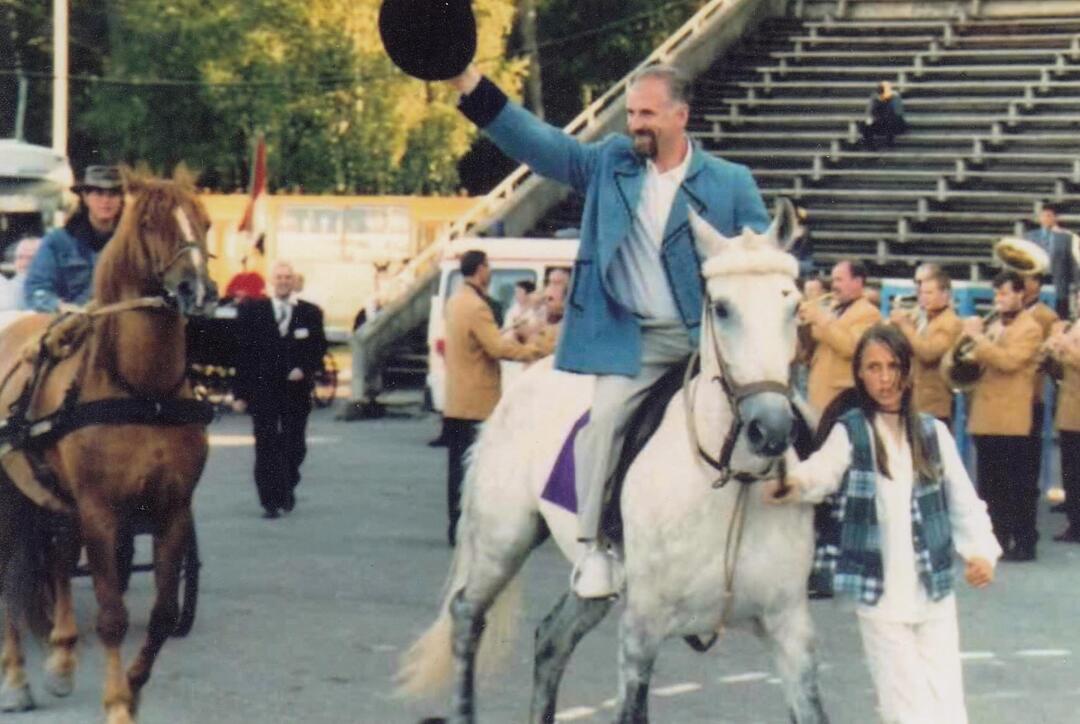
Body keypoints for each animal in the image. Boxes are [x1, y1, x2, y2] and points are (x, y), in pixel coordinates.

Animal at [0, 171, 216, 724]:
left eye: (204, 221)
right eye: (151, 222)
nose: (198, 289)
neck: (142, 391)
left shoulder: (172, 509)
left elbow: (162, 614)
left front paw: (133, 687)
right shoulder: (99, 510)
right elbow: (113, 614)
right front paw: (117, 700)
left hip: (54, 501)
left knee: (54, 563)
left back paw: (60, 658)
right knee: (10, 579)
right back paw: (17, 678)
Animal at [397, 200, 825, 724]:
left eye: (793, 306)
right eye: (722, 308)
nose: (771, 429)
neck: (728, 485)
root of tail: (523, 382)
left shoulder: (790, 630)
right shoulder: (642, 629)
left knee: (551, 639)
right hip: (504, 538)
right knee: (466, 615)